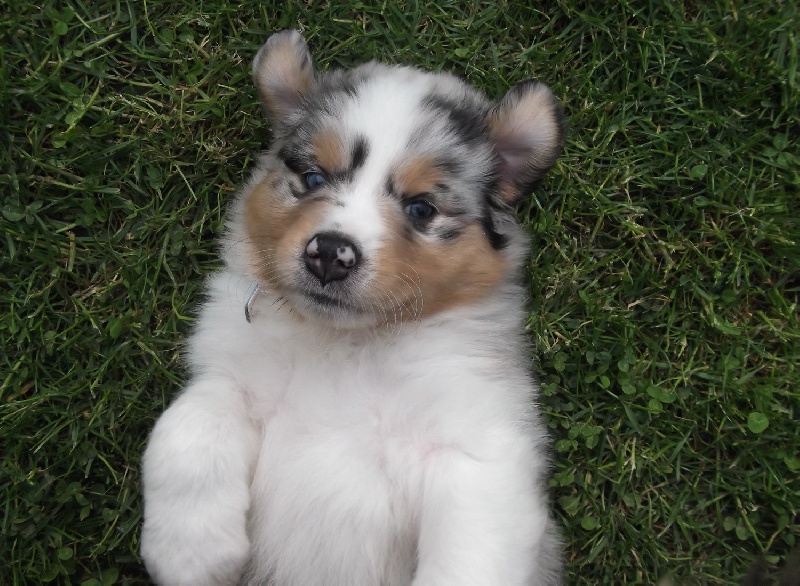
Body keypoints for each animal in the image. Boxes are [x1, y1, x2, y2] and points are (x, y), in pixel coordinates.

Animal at [140, 30, 565, 586]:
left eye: (421, 208)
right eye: (314, 178)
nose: (329, 254)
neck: (345, 345)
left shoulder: (475, 447)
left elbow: (469, 553)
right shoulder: (231, 374)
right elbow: (186, 426)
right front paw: (191, 553)